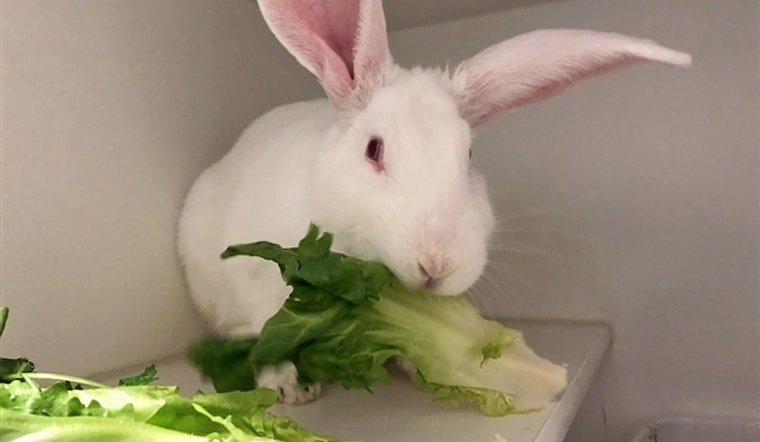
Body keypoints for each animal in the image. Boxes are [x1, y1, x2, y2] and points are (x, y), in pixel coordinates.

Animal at [177, 0, 691, 404]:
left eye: (469, 156)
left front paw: (416, 363)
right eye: (374, 150)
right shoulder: (258, 282)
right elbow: (270, 340)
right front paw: (292, 387)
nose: (437, 265)